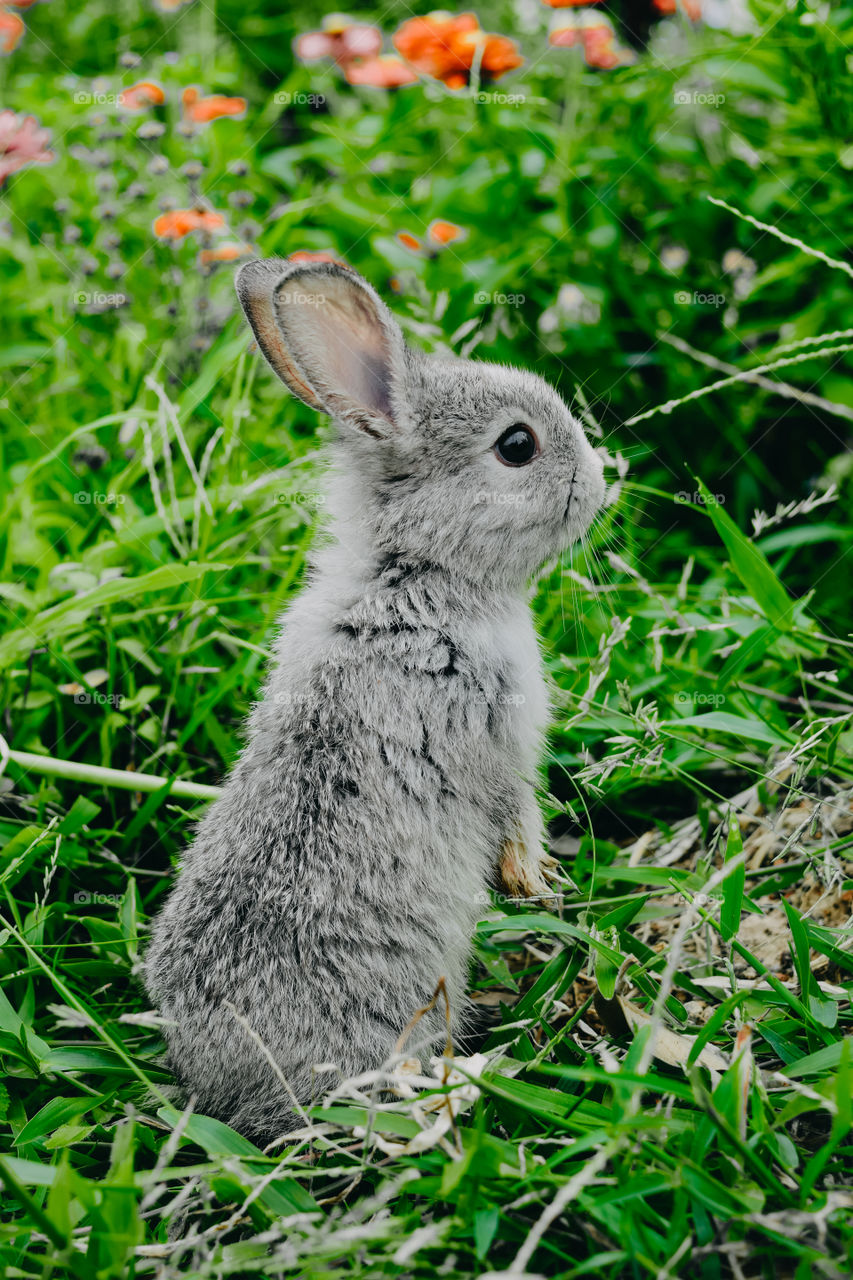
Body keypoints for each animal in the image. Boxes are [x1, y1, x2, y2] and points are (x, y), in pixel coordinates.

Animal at [144, 258, 606, 1144]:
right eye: (517, 446)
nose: (608, 480)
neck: (420, 573)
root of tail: (224, 1090)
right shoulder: (494, 741)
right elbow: (513, 812)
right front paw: (536, 881)